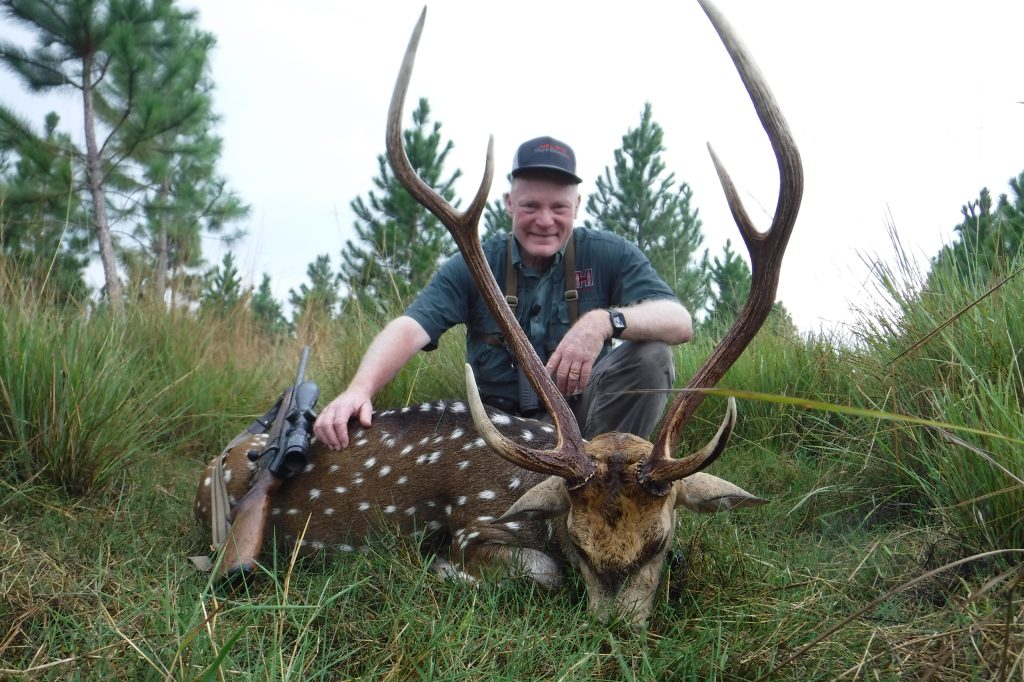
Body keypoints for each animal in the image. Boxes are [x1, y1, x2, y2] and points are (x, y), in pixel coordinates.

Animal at [193, 0, 798, 626]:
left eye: (661, 540)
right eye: (578, 543)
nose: (615, 631)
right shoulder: (476, 526)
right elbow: (539, 571)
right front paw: (443, 569)